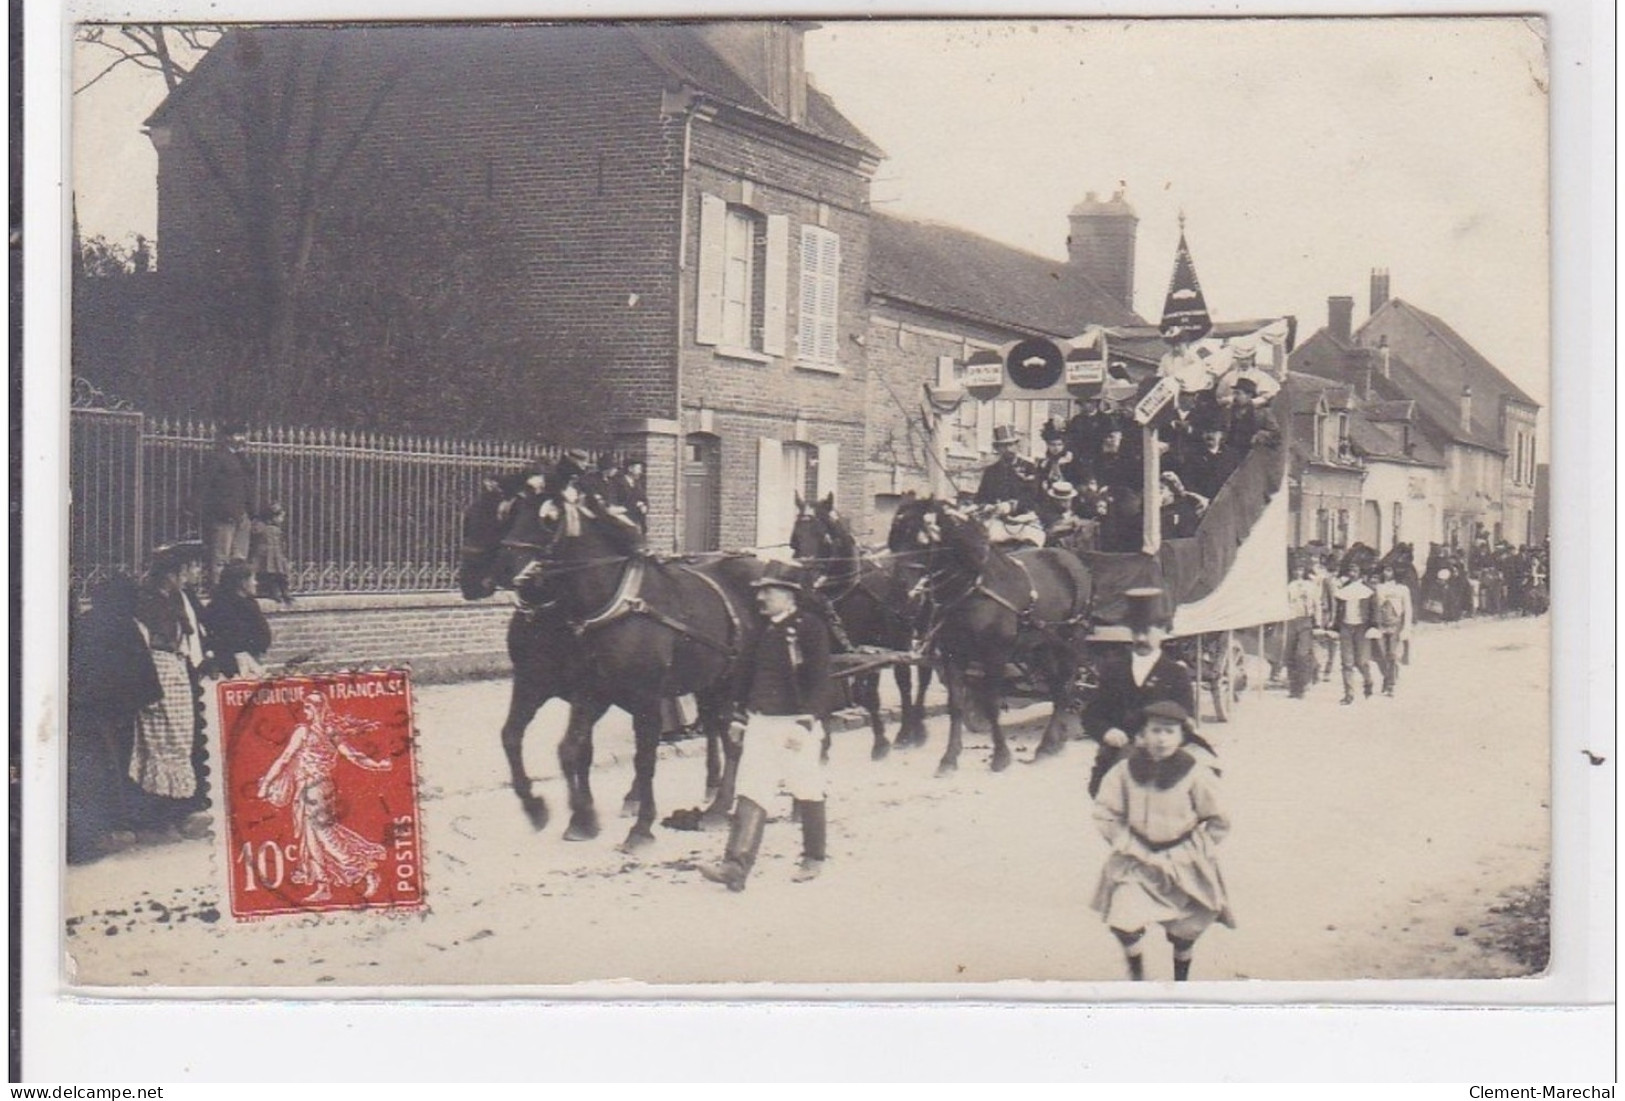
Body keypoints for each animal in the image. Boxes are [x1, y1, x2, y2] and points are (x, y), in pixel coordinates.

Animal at [783, 496, 936, 763]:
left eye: (824, 536)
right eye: (797, 535)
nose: (805, 581)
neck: (844, 588)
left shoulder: (865, 648)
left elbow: (871, 695)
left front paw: (880, 744)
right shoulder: (837, 649)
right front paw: (825, 748)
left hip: (911, 632)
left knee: (914, 678)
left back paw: (912, 731)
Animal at [884, 496, 1098, 776]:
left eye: (922, 541)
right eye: (894, 539)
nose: (898, 591)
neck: (973, 588)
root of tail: (1072, 560)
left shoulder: (994, 655)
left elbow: (992, 703)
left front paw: (1000, 757)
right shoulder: (953, 654)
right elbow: (957, 705)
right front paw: (949, 759)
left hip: (1071, 637)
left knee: (1066, 683)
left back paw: (1048, 743)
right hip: (1042, 646)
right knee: (1056, 686)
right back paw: (1052, 743)